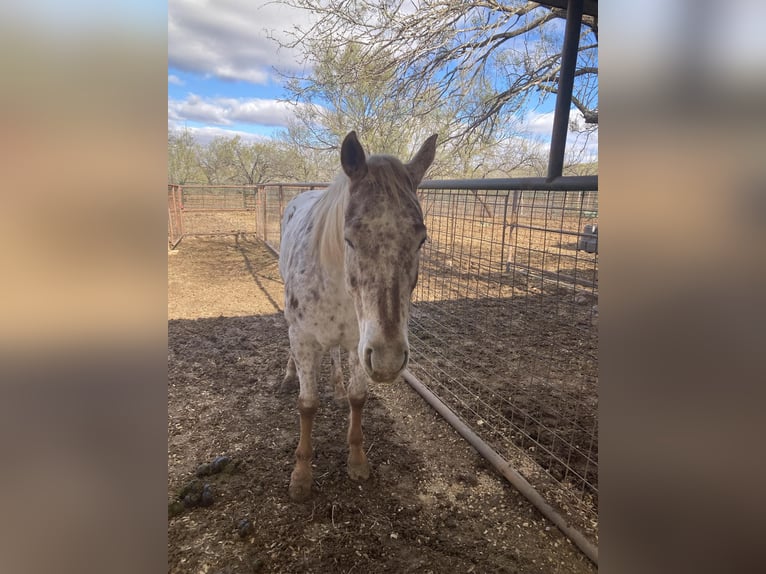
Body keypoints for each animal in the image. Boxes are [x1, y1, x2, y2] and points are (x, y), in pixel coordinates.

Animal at [280, 133, 438, 502]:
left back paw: (337, 388)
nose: (388, 360)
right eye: (349, 238)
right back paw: (288, 375)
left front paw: (356, 460)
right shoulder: (304, 340)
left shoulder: (358, 342)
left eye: (421, 239)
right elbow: (307, 405)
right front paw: (301, 476)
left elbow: (358, 397)